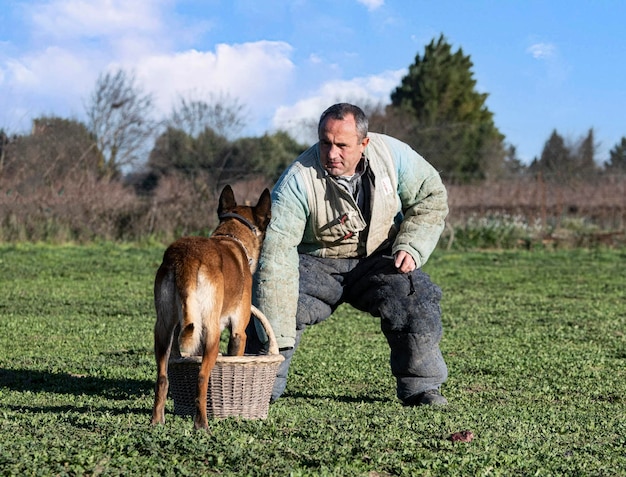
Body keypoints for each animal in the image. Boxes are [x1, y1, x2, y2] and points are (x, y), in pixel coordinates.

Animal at [151, 184, 270, 430]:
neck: (232, 237)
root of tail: (186, 257)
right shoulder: (238, 333)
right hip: (211, 332)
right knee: (202, 377)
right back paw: (202, 425)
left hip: (163, 330)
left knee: (162, 378)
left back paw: (157, 421)